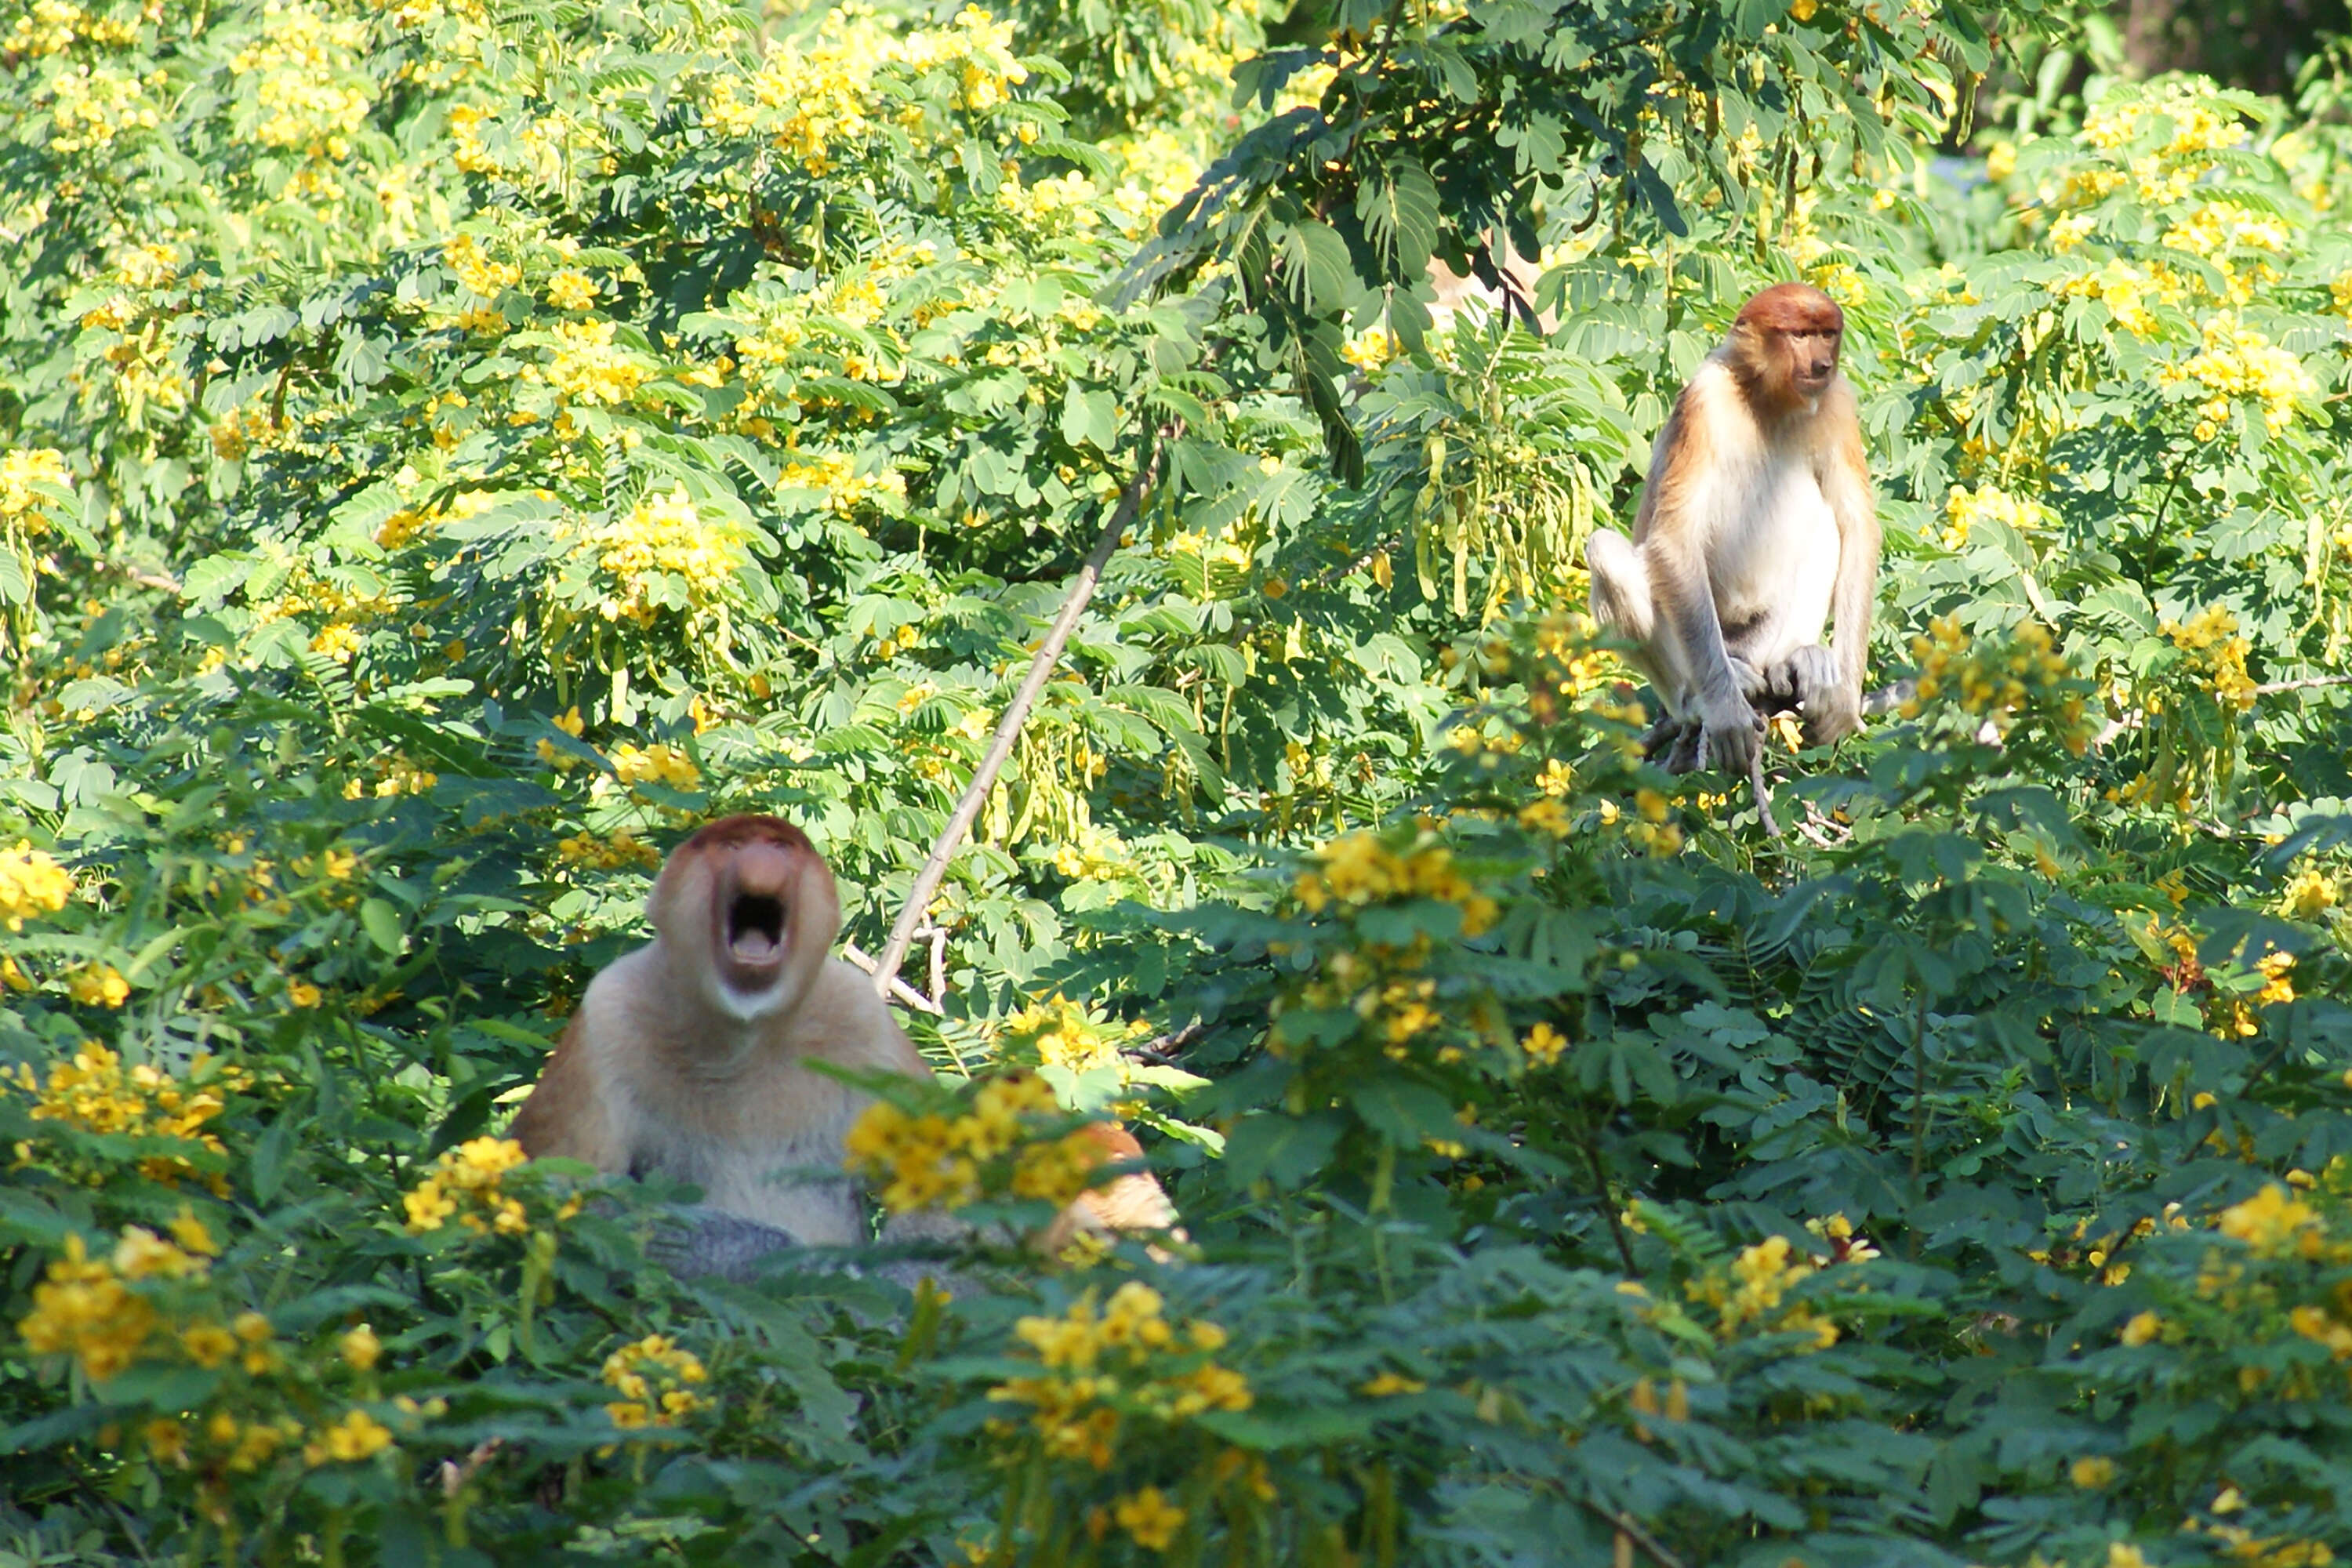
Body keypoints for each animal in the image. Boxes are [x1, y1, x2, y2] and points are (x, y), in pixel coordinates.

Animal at [515, 818, 1176, 1279]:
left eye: (779, 846)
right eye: (731, 845)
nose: (762, 857)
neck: (744, 1033)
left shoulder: (861, 1023)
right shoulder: (611, 1014)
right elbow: (556, 1193)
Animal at [1581, 281, 1891, 780]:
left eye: (1827, 334)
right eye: (1800, 335)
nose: (1822, 365)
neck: (1768, 397)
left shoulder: (1838, 401)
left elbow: (1857, 523)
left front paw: (1844, 698)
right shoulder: (1705, 398)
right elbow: (1673, 536)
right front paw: (1725, 715)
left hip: (1766, 630)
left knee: (1826, 523)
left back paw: (1794, 662)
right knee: (1606, 548)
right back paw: (1695, 701)